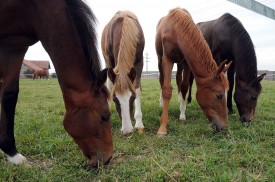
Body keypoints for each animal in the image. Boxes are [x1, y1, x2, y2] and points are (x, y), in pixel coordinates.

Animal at [0, 0, 113, 168]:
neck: (32, 8)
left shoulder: (16, 47)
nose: (108, 158)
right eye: (104, 117)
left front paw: (12, 154)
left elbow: (9, 94)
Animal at [155, 7, 231, 136]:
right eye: (219, 95)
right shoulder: (167, 59)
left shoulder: (186, 63)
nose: (224, 127)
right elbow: (166, 90)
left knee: (178, 80)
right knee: (161, 80)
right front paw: (162, 127)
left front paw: (182, 114)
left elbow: (185, 86)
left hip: (180, 63)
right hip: (160, 59)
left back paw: (180, 100)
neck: (176, 29)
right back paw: (161, 103)